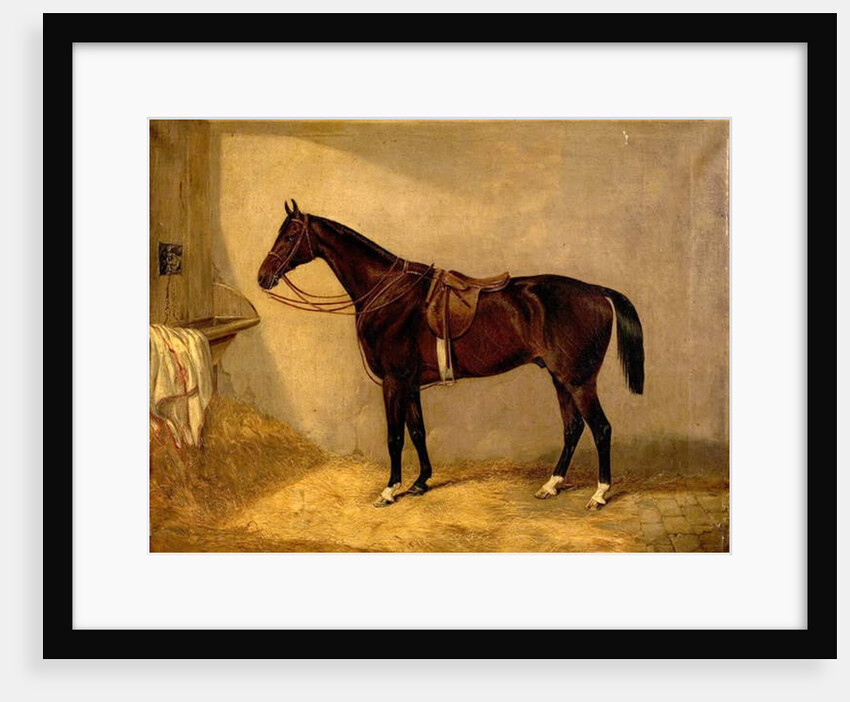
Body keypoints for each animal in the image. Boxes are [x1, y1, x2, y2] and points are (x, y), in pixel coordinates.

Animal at [257, 200, 644, 509]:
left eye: (289, 237)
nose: (263, 277)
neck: (388, 293)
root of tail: (595, 291)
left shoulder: (394, 382)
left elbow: (394, 436)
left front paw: (389, 490)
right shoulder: (410, 384)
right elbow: (417, 431)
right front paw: (420, 482)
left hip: (579, 380)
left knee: (601, 428)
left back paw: (599, 494)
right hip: (560, 378)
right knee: (573, 427)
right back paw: (551, 485)